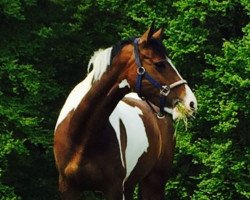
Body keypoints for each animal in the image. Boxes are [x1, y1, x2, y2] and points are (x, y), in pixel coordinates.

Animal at [54, 25, 197, 200]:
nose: (191, 102)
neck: (81, 136)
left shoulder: (114, 188)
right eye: (159, 64)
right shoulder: (68, 188)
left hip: (154, 182)